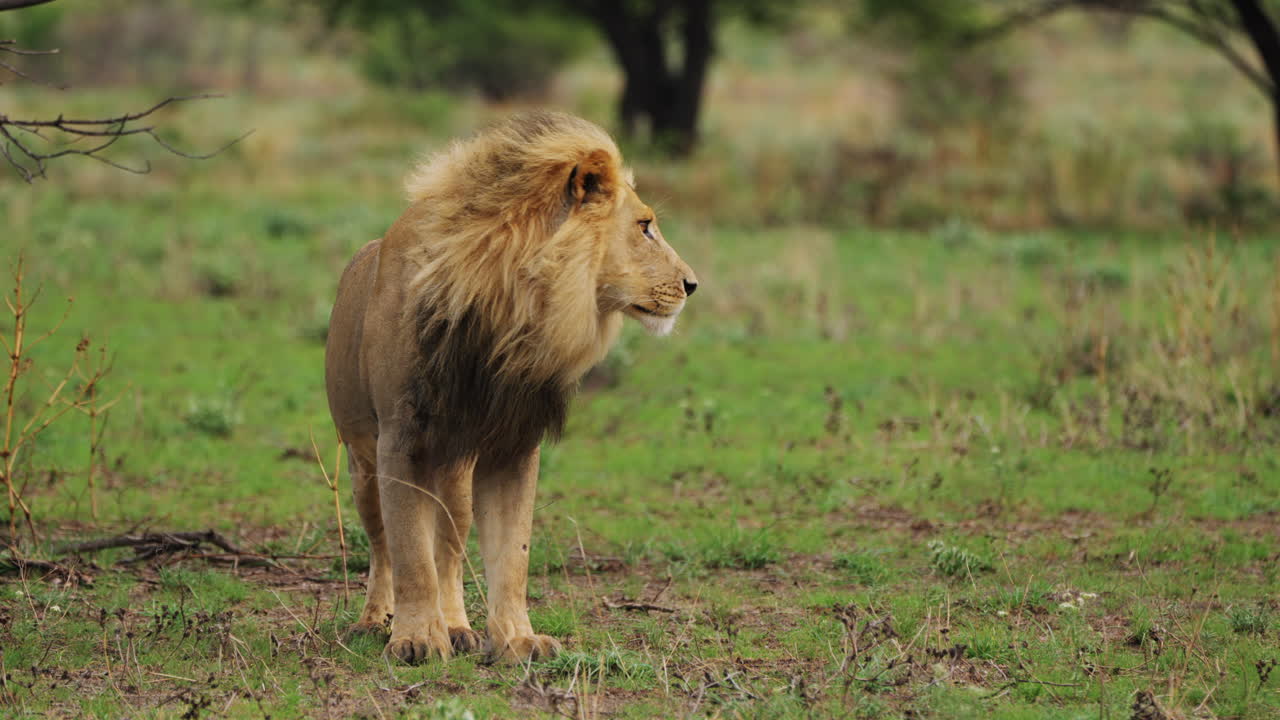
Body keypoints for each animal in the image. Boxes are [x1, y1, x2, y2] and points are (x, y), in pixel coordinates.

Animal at [324, 111, 697, 664]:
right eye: (645, 226)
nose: (693, 284)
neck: (517, 303)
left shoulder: (513, 443)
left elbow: (510, 553)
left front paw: (516, 639)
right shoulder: (401, 439)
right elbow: (410, 554)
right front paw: (415, 639)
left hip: (454, 474)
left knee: (449, 551)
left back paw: (457, 627)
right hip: (362, 465)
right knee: (382, 546)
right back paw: (376, 622)